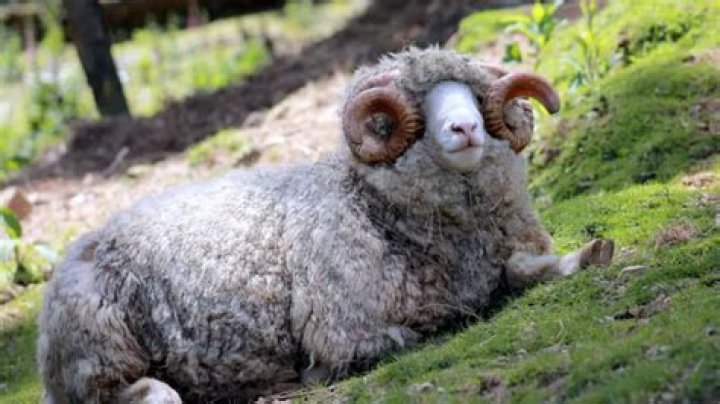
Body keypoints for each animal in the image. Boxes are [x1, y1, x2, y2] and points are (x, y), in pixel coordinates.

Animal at [38, 46, 614, 403]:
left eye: (473, 94)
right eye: (419, 104)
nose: (465, 128)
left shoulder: (506, 248)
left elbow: (528, 268)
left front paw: (591, 254)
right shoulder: (340, 326)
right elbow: (403, 335)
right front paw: (314, 372)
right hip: (101, 351)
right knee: (132, 392)